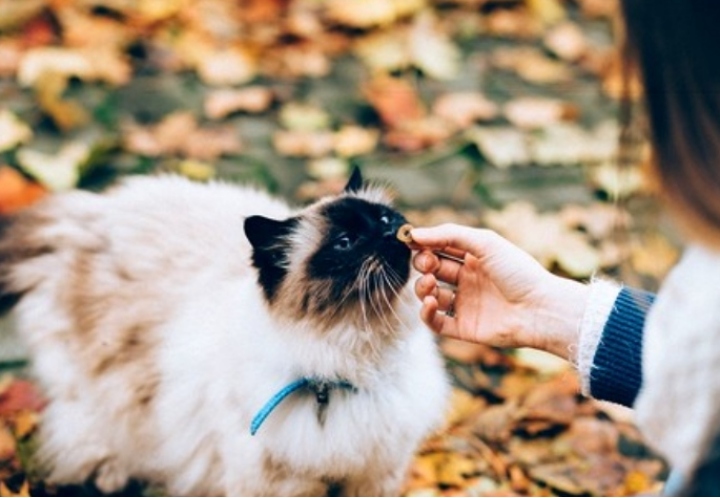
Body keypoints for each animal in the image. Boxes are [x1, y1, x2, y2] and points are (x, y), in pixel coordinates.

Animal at [0, 169, 450, 496]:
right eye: (345, 242)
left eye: (386, 219)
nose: (392, 233)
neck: (353, 365)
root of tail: (86, 213)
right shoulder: (280, 485)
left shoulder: (375, 474)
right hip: (103, 395)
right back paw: (112, 474)